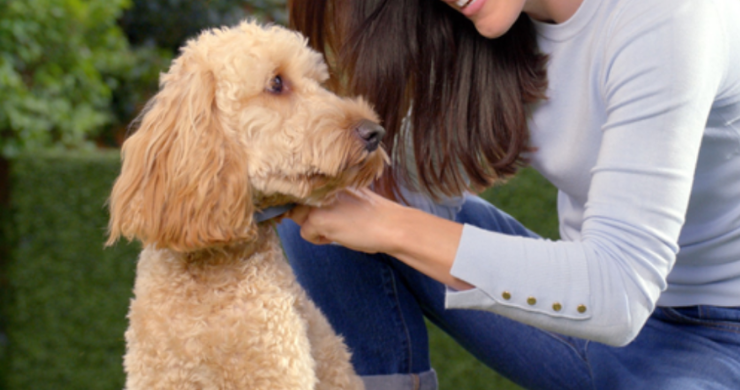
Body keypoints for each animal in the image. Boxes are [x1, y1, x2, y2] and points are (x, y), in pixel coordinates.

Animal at [107, 21, 390, 390]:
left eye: (319, 83)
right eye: (276, 83)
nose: (375, 132)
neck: (211, 273)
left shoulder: (275, 371)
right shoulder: (160, 376)